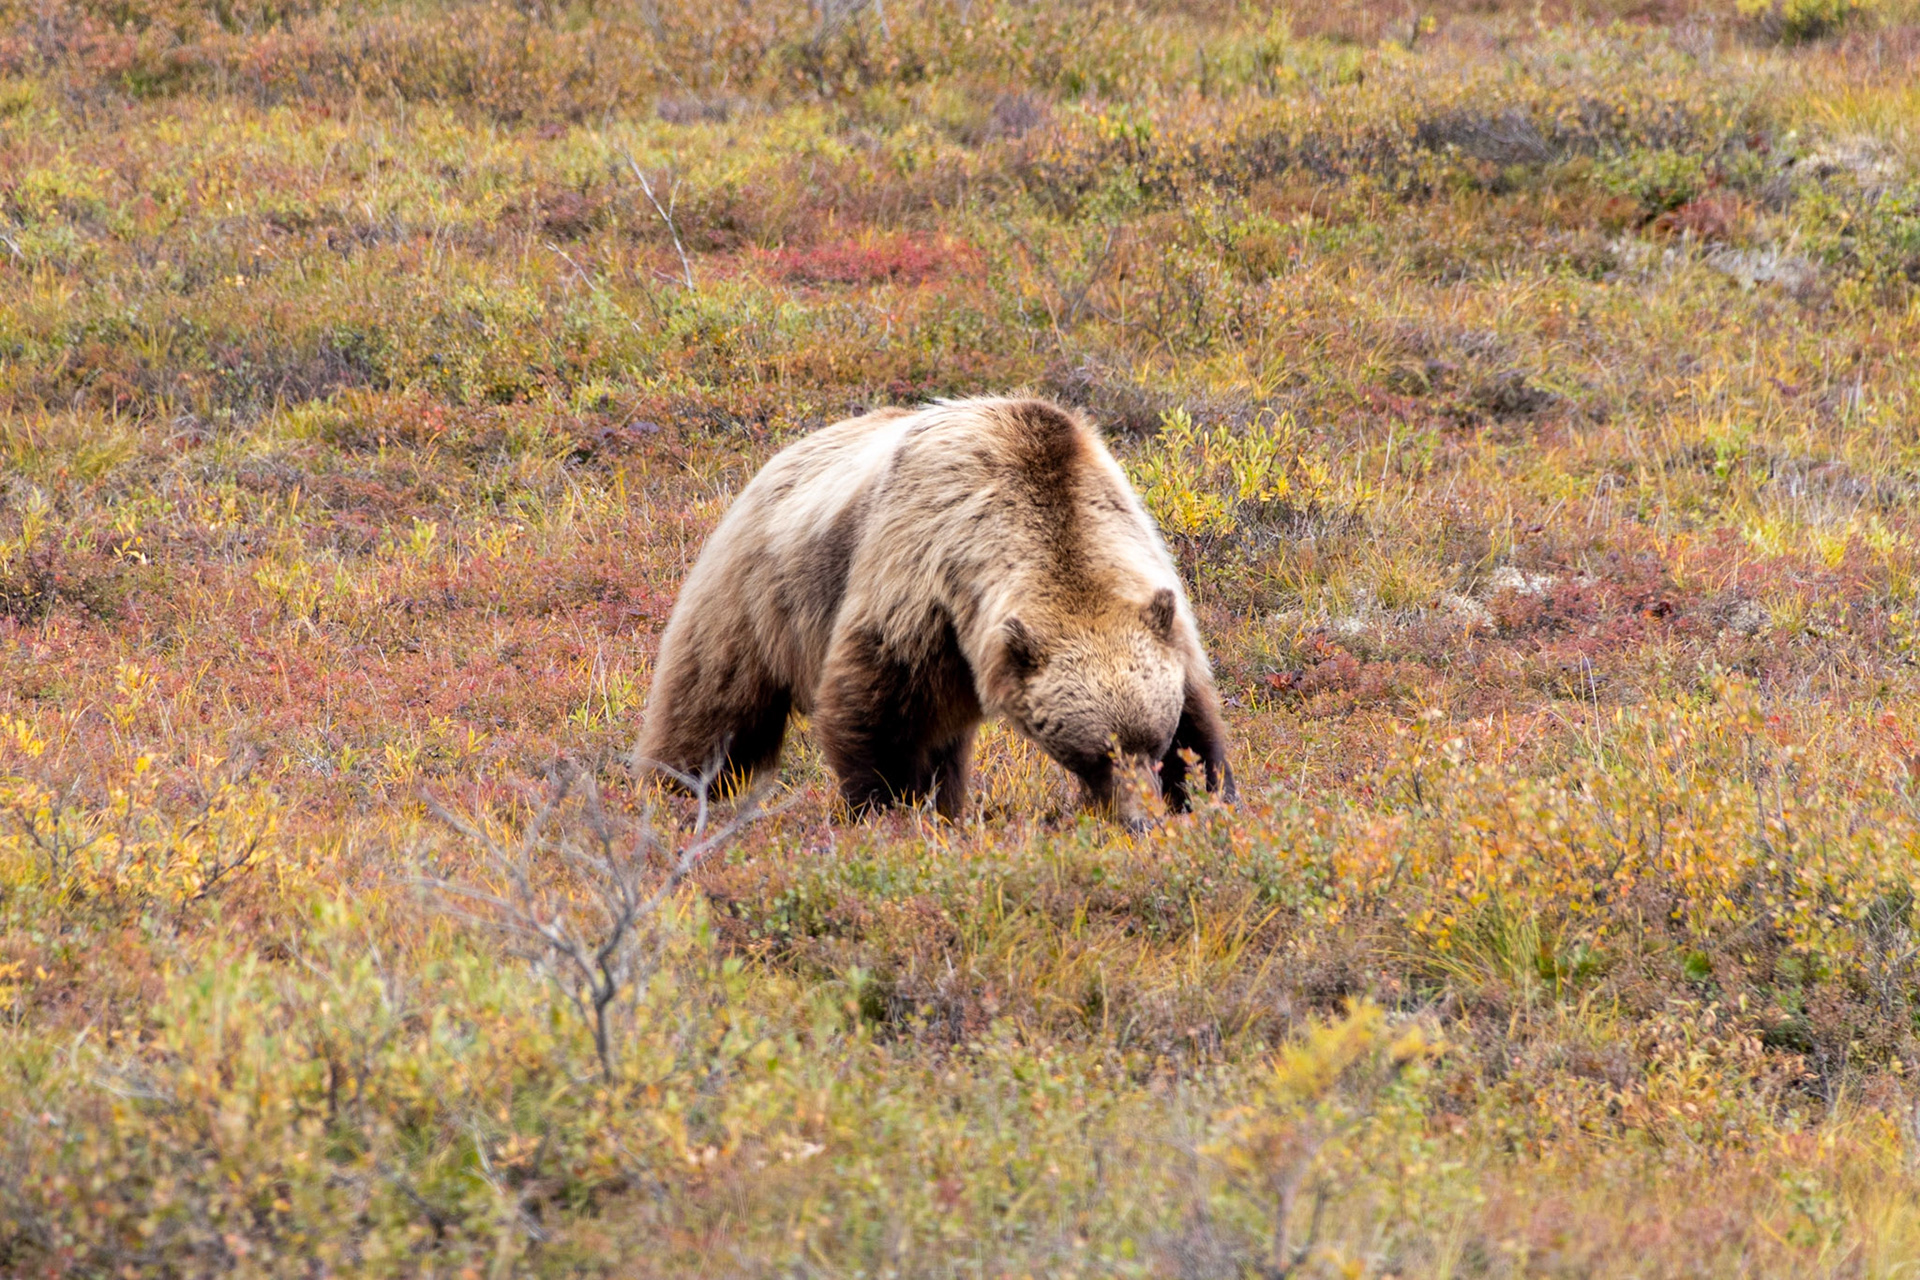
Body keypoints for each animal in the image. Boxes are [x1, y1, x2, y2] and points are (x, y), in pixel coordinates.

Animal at [637, 396, 1234, 823]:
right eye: (1094, 753)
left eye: (1152, 744)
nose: (1141, 819)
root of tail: (775, 460)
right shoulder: (916, 586)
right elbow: (875, 711)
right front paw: (887, 808)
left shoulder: (1157, 600)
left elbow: (1199, 717)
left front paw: (1207, 795)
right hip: (756, 595)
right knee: (716, 706)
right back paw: (675, 789)